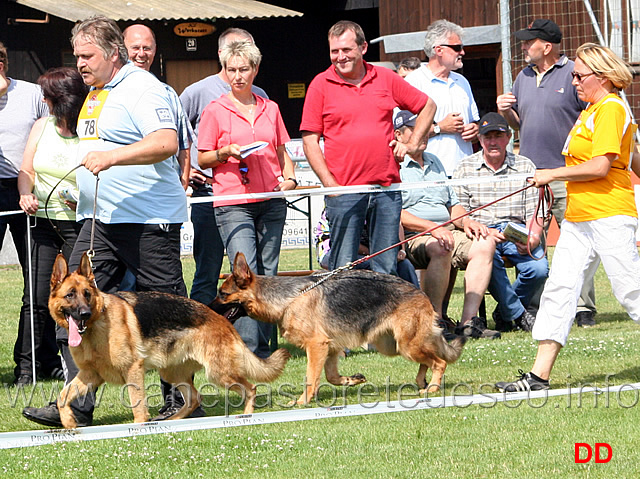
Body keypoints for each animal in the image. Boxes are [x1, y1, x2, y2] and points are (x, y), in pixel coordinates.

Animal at [46, 253, 292, 430]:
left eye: (87, 294)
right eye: (70, 295)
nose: (84, 313)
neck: (97, 325)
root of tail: (222, 319)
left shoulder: (132, 370)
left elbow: (137, 405)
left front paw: (138, 428)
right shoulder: (90, 375)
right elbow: (62, 396)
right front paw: (68, 422)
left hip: (219, 374)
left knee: (250, 388)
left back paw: (247, 416)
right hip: (171, 372)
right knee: (194, 398)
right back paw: (172, 420)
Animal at [216, 253, 464, 406]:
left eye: (222, 294)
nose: (206, 309)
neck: (288, 298)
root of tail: (421, 293)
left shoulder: (317, 346)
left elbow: (311, 377)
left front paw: (303, 401)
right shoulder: (331, 348)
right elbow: (331, 376)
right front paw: (351, 380)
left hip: (406, 345)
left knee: (439, 362)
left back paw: (432, 388)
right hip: (395, 346)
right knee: (429, 360)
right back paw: (423, 381)